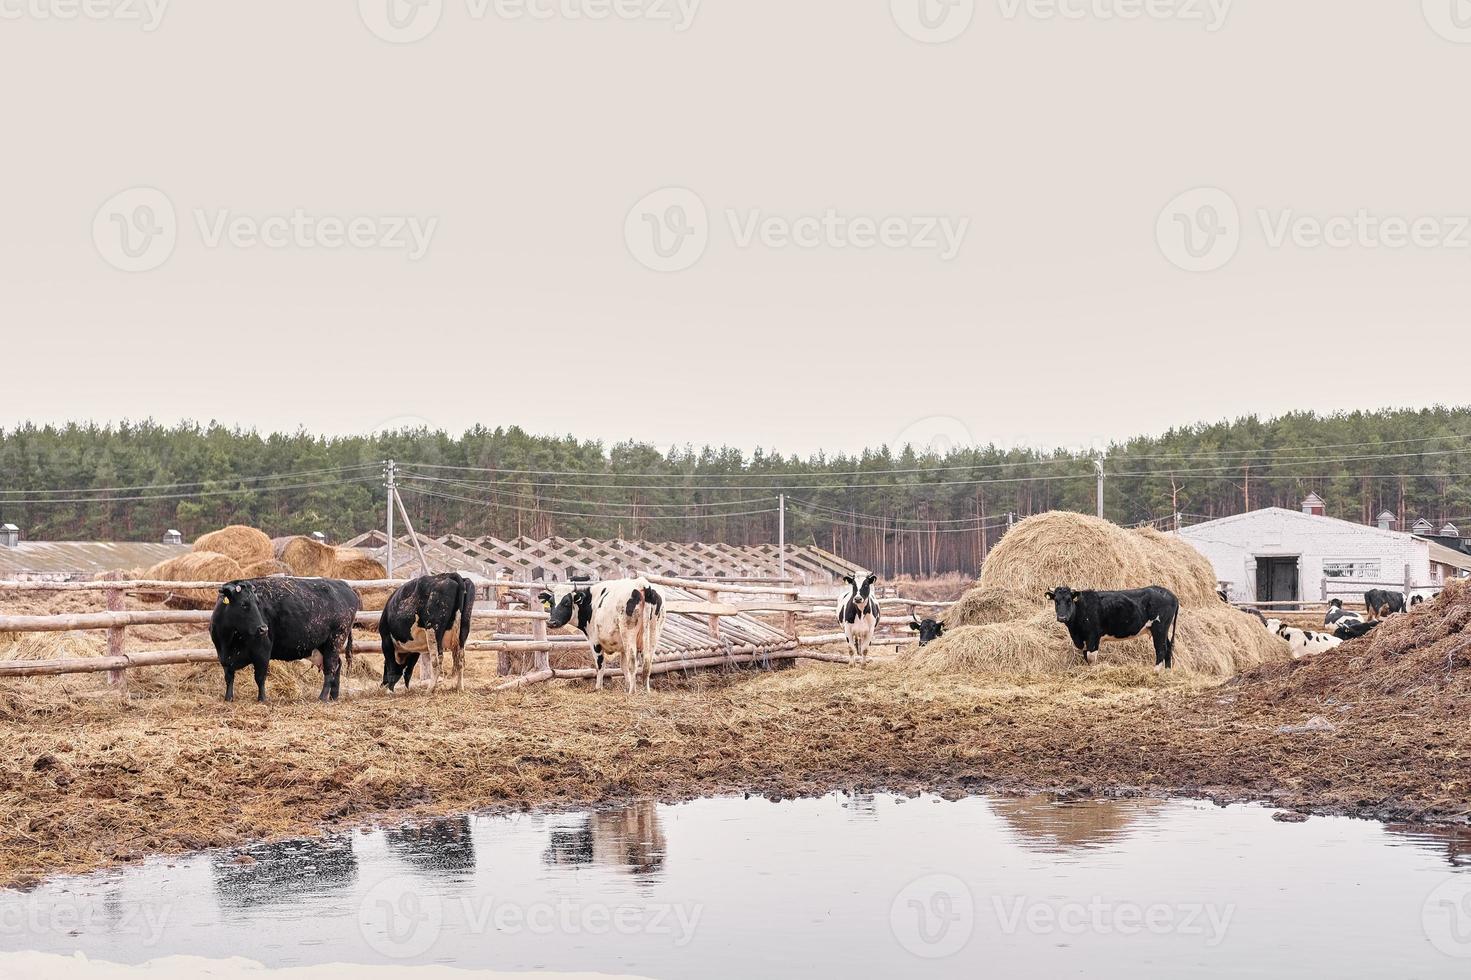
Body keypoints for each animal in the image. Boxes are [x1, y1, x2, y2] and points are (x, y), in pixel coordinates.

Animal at [208, 573, 360, 703]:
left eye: (257, 603)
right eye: (243, 604)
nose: (263, 629)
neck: (229, 641)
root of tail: (343, 584)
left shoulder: (262, 652)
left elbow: (260, 677)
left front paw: (262, 699)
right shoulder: (224, 657)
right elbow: (229, 677)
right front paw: (228, 698)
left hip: (335, 640)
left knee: (330, 668)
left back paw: (322, 697)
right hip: (324, 645)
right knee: (338, 665)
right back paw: (334, 696)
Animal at [1047, 582, 1182, 668]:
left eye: (1069, 601)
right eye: (1056, 601)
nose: (1062, 617)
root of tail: (1172, 595)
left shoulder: (1093, 636)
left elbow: (1091, 657)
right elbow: (1086, 656)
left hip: (1159, 628)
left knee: (1161, 650)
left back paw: (1156, 672)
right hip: (1162, 630)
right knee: (1168, 648)